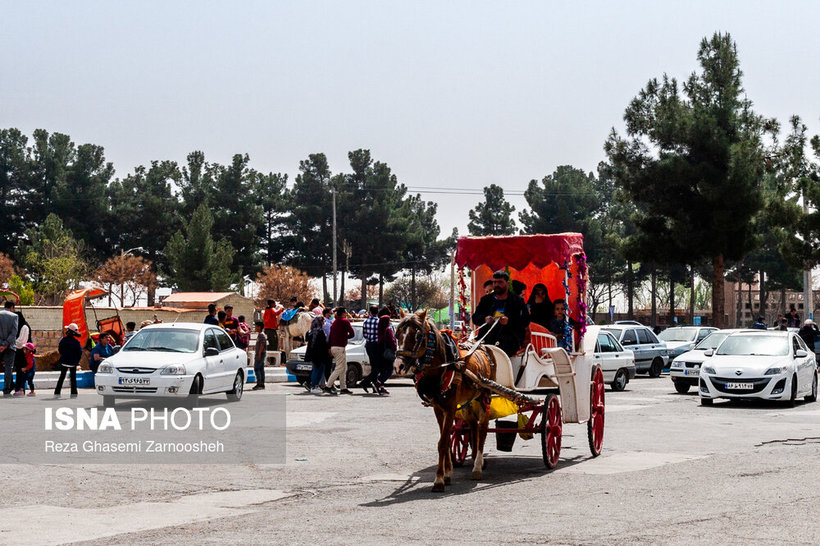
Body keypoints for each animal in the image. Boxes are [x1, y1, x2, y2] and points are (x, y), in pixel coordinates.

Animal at [394, 308, 496, 490]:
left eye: (417, 336)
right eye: (397, 333)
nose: (398, 366)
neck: (444, 366)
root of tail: (483, 347)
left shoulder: (450, 408)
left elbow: (442, 443)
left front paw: (439, 480)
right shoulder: (438, 408)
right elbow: (446, 439)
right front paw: (447, 474)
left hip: (485, 395)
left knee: (483, 428)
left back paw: (477, 467)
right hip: (468, 401)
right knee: (473, 426)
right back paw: (476, 460)